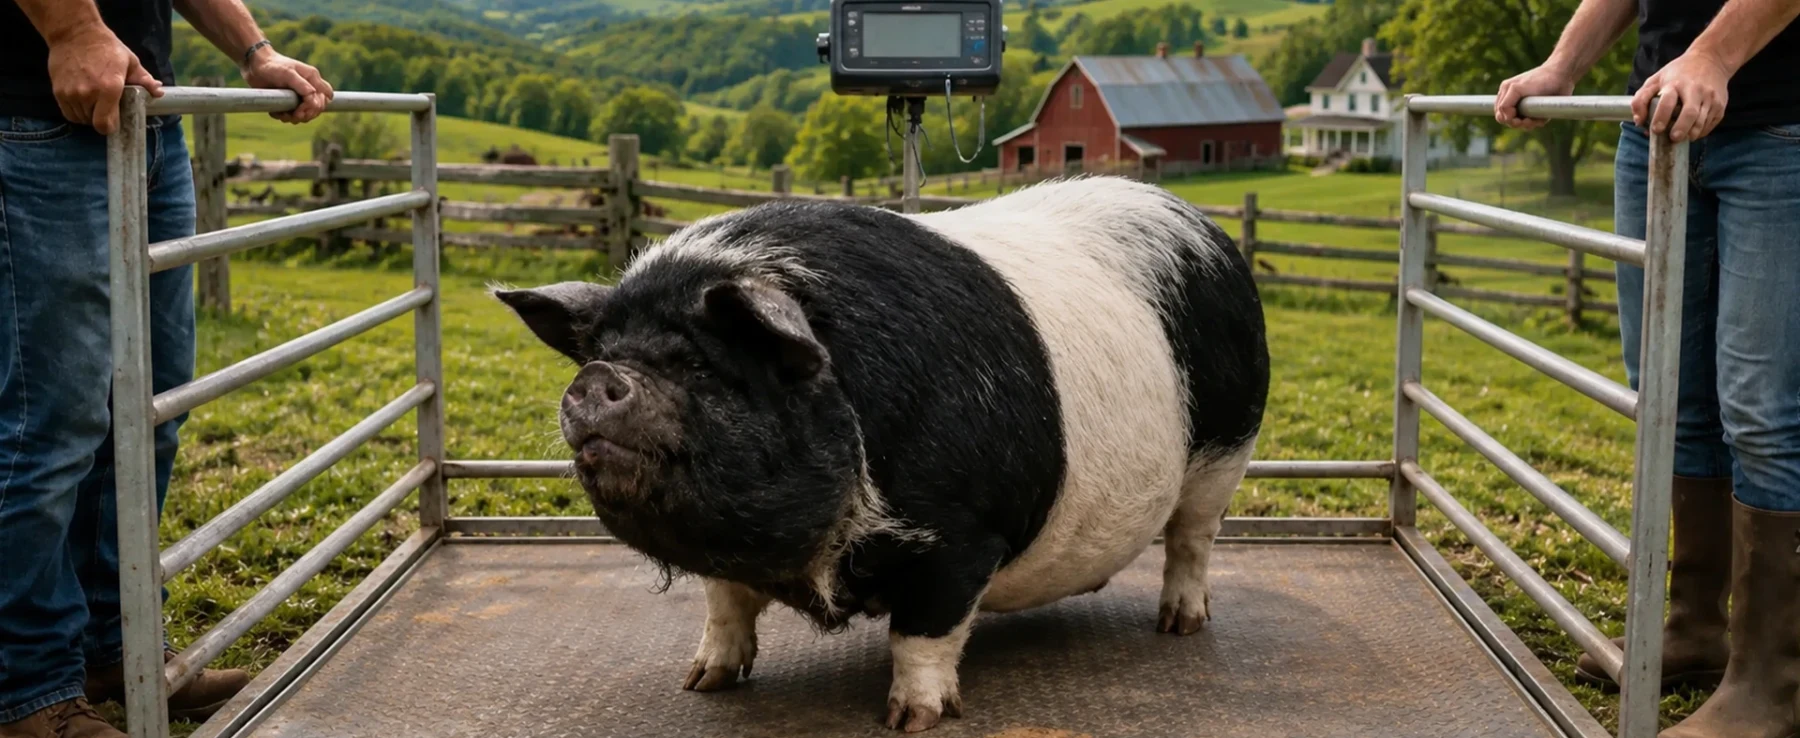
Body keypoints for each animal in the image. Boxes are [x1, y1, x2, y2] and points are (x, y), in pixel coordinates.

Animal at [495, 175, 1269, 733]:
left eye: (700, 365)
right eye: (600, 350)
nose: (596, 377)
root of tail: (1196, 219)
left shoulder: (961, 531)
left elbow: (921, 632)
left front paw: (911, 720)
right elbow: (724, 604)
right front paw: (703, 683)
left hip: (1226, 452)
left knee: (1192, 540)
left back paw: (1179, 626)